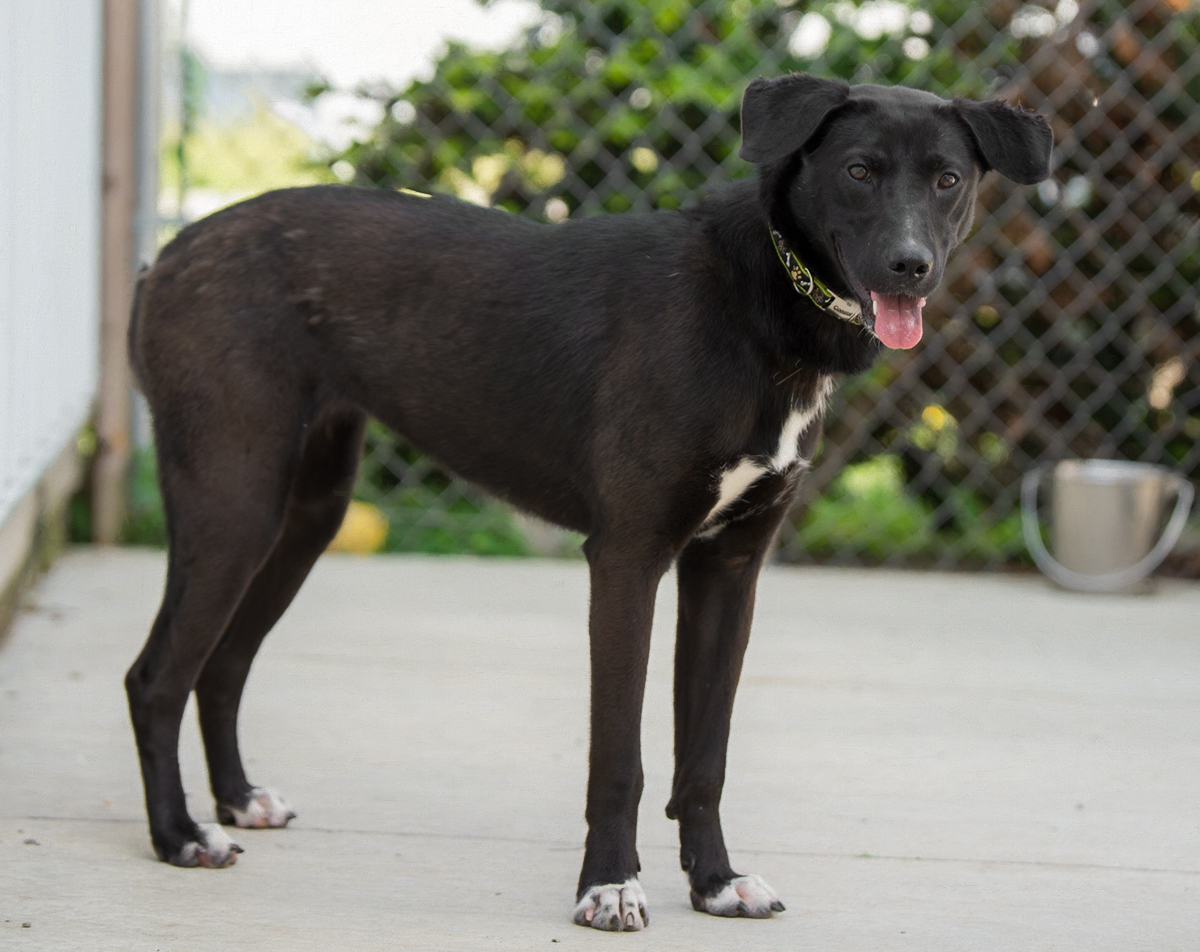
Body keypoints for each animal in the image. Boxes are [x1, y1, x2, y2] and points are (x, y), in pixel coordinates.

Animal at [125, 73, 1052, 931]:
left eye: (946, 179)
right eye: (859, 170)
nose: (911, 267)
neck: (755, 307)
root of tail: (167, 254)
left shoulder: (729, 571)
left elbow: (703, 757)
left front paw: (715, 884)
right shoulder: (627, 559)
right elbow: (620, 757)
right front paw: (609, 887)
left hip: (306, 514)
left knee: (223, 664)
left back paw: (237, 799)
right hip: (234, 501)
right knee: (156, 677)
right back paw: (180, 836)